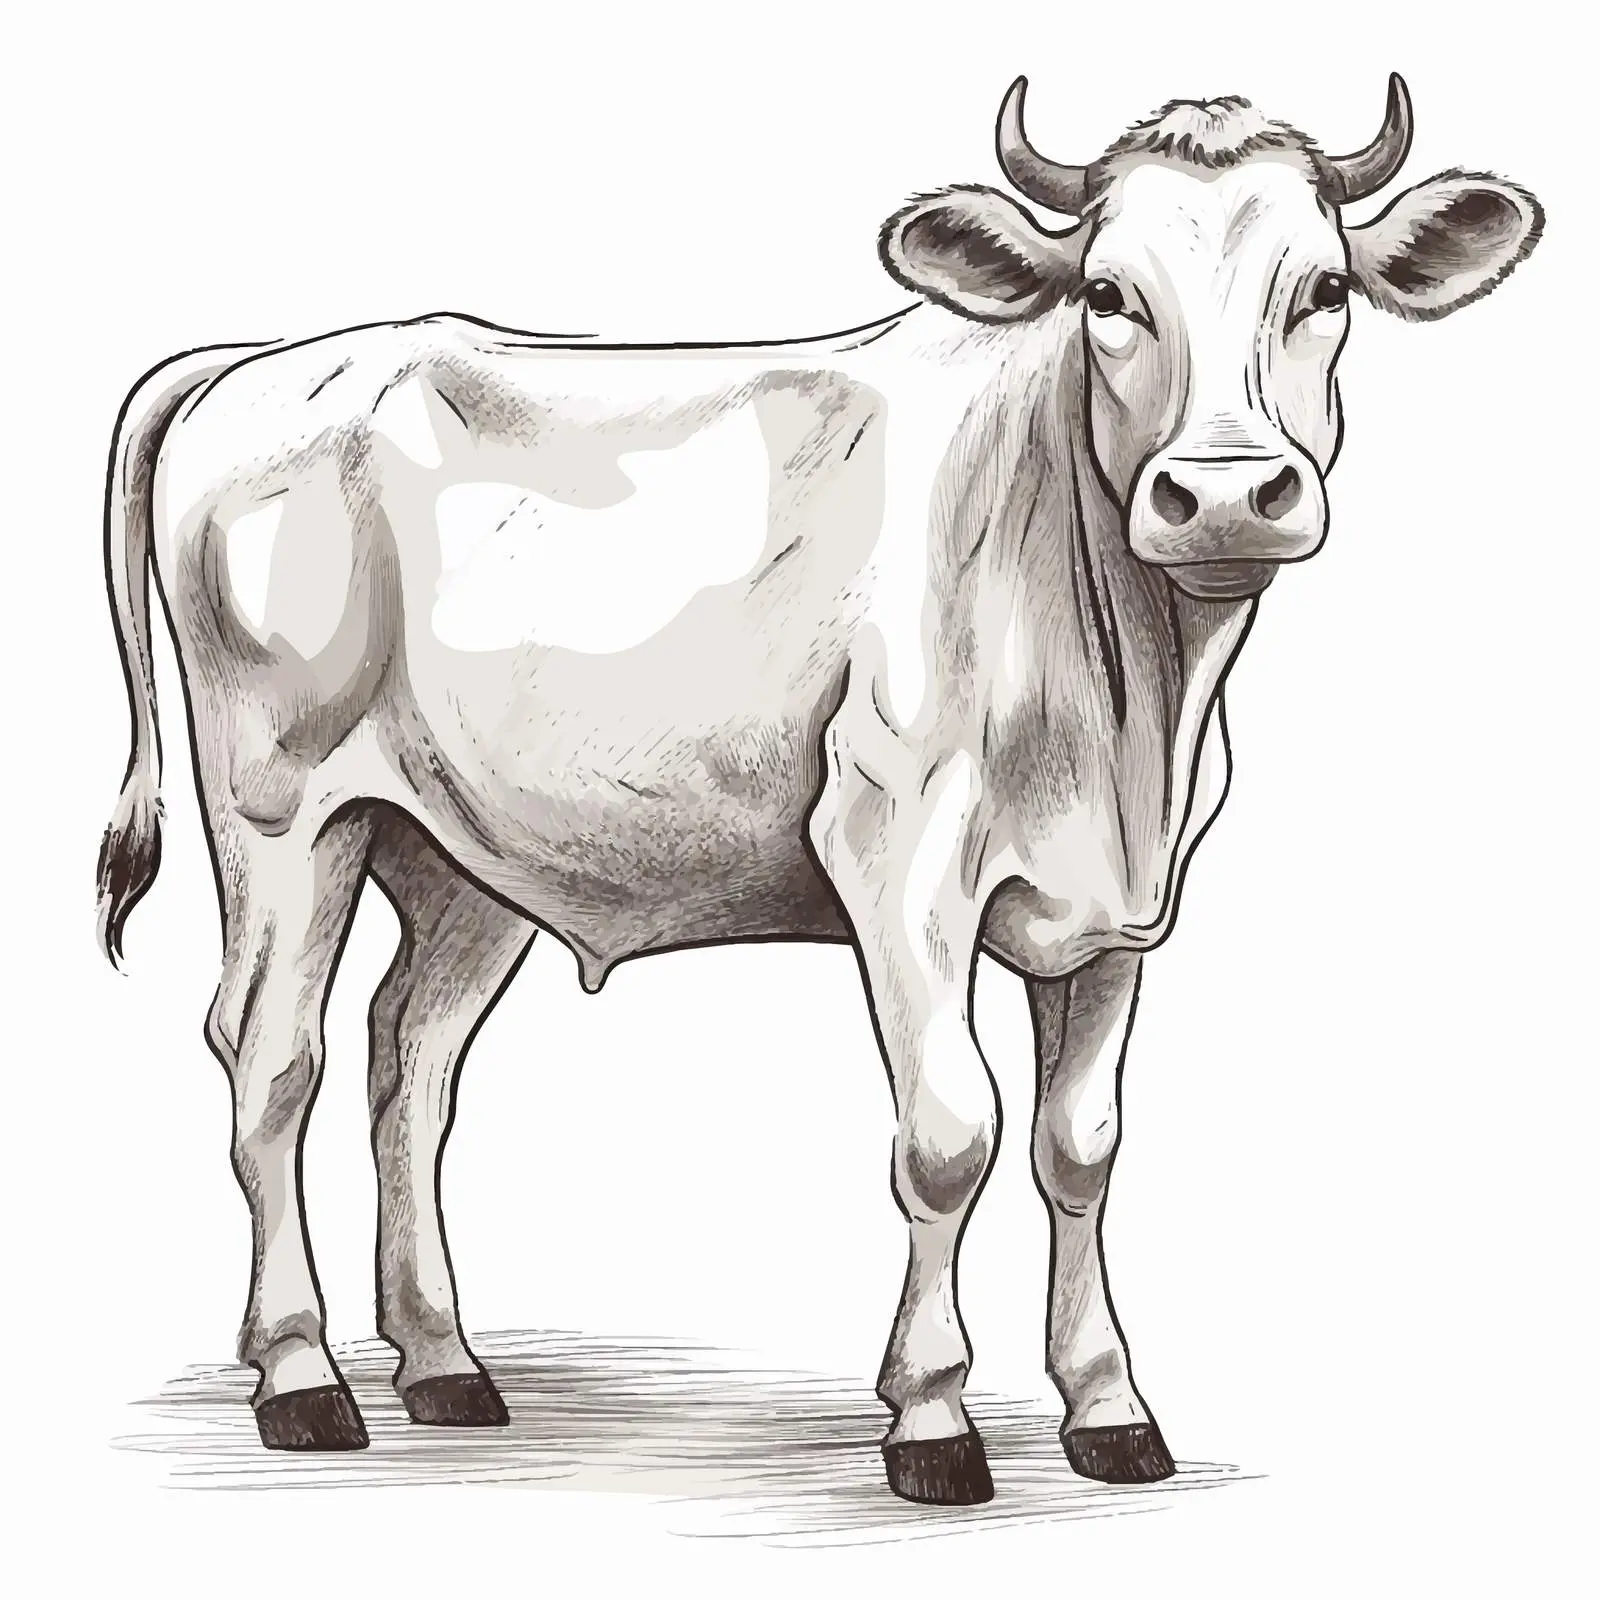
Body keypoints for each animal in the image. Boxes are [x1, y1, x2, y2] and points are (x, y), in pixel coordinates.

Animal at [96, 74, 1541, 1504]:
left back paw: (444, 1362)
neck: (1127, 709)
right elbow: (951, 1132)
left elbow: (1079, 1142)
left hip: (460, 854)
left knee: (411, 1058)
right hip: (280, 808)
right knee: (271, 1056)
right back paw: (300, 1379)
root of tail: (272, 359)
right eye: (1108, 294)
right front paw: (931, 1420)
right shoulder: (897, 858)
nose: (1227, 495)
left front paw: (1110, 1407)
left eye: (1325, 289)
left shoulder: (1119, 904)